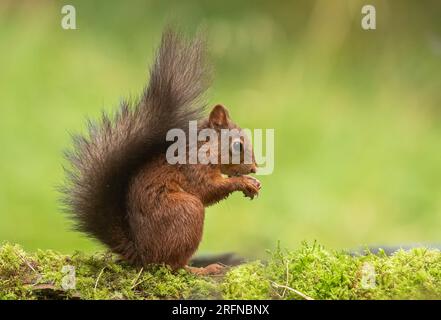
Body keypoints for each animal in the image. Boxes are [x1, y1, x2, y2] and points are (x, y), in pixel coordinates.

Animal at [62, 28, 262, 276]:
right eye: (237, 146)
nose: (254, 168)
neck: (202, 146)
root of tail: (142, 255)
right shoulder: (192, 167)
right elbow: (206, 189)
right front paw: (244, 182)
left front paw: (253, 182)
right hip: (187, 211)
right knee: (172, 265)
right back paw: (202, 269)